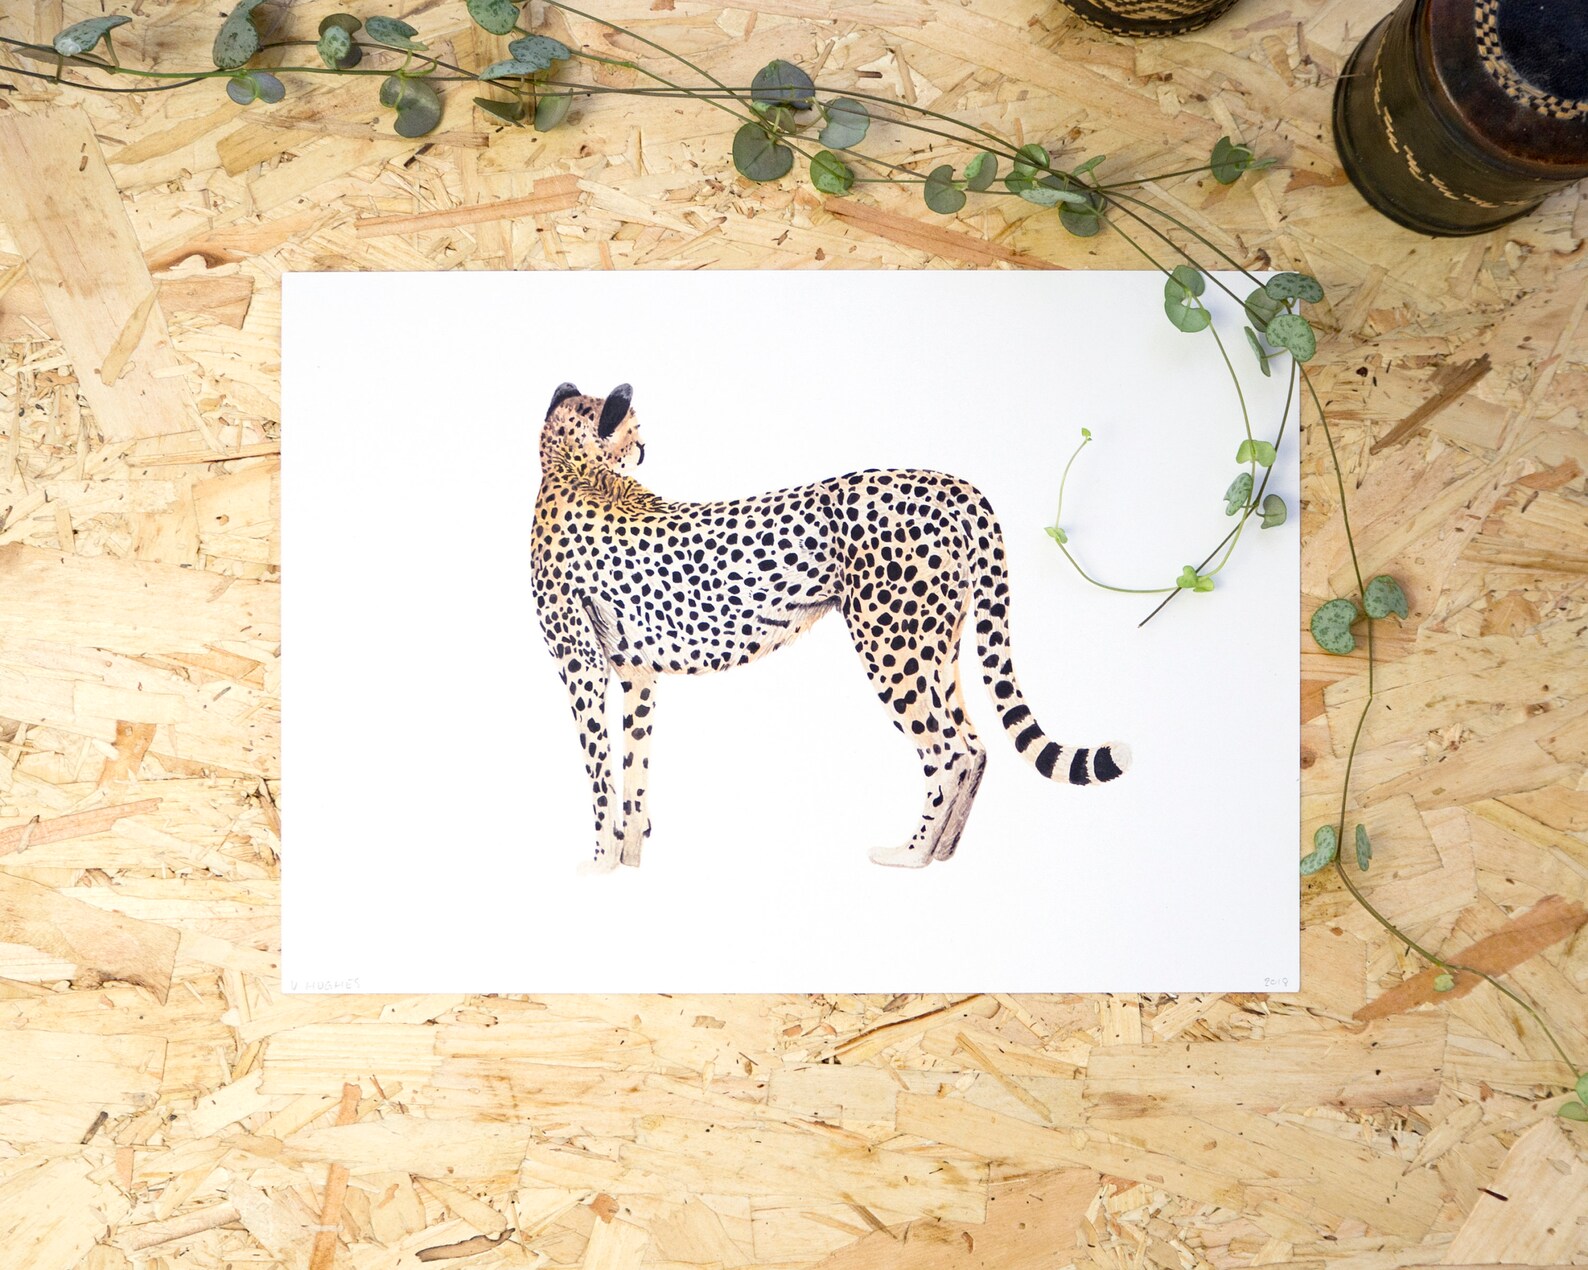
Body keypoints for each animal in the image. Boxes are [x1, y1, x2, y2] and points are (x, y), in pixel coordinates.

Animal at [532, 381, 1130, 872]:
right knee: (976, 746)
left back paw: (910, 855)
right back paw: (945, 853)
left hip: (892, 646)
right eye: (635, 430)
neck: (569, 470)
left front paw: (600, 863)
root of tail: (950, 483)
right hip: (937, 648)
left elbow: (600, 770)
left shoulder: (582, 668)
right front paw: (629, 859)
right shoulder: (636, 672)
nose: (644, 449)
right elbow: (632, 769)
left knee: (949, 751)